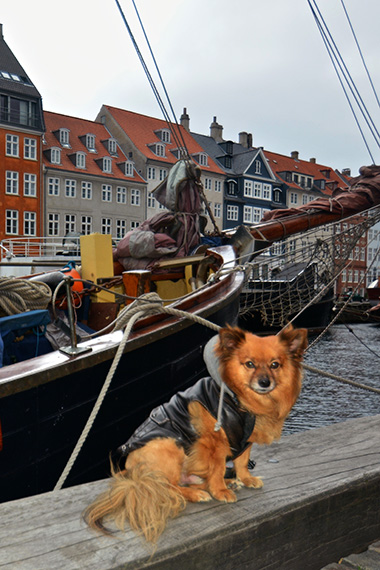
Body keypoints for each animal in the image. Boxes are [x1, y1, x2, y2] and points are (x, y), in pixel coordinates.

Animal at [83, 324, 306, 540]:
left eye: (275, 365)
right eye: (249, 364)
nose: (264, 382)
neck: (239, 400)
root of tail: (133, 475)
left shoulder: (244, 440)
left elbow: (242, 462)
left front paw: (245, 478)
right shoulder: (215, 442)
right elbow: (217, 468)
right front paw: (220, 491)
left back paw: (226, 483)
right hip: (169, 447)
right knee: (168, 488)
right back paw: (199, 493)